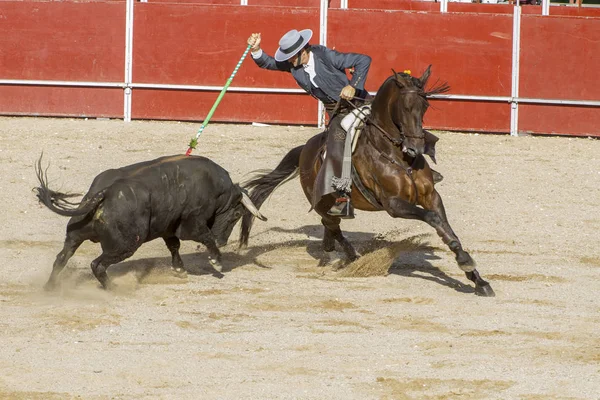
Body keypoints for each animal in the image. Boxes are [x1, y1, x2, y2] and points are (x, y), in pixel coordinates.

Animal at [34, 155, 264, 290]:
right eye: (237, 214)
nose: (223, 241)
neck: (218, 190)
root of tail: (105, 192)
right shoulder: (192, 223)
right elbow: (204, 236)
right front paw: (216, 260)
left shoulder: (169, 226)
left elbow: (174, 246)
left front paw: (179, 269)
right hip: (125, 245)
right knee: (97, 264)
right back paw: (114, 288)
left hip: (75, 235)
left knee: (61, 258)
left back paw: (50, 288)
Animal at [241, 66, 494, 296]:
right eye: (405, 107)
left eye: (425, 106)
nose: (416, 148)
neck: (396, 154)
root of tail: (305, 150)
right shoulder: (393, 204)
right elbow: (433, 218)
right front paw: (466, 263)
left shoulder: (431, 195)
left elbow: (447, 228)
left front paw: (477, 278)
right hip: (321, 203)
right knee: (332, 224)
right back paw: (352, 257)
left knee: (330, 226)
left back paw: (331, 250)